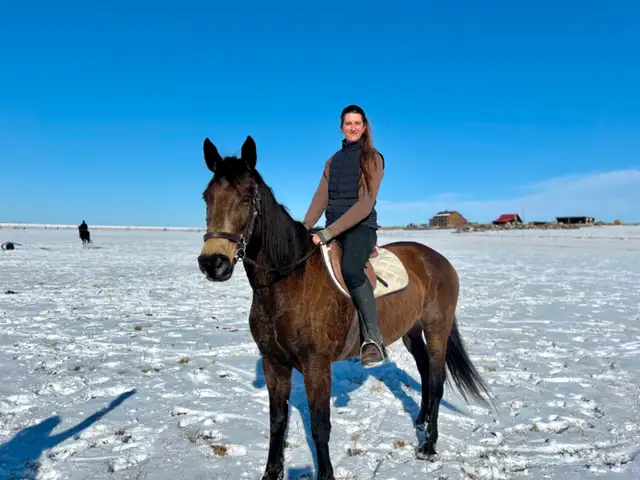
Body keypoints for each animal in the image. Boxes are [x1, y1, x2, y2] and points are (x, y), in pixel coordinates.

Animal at [197, 136, 493, 480]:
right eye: (207, 197)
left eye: (246, 198)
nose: (213, 263)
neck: (288, 281)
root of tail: (439, 260)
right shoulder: (274, 363)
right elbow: (277, 422)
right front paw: (271, 473)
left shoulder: (316, 366)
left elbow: (319, 426)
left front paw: (325, 474)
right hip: (411, 331)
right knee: (424, 372)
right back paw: (419, 421)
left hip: (436, 331)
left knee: (436, 381)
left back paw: (428, 446)